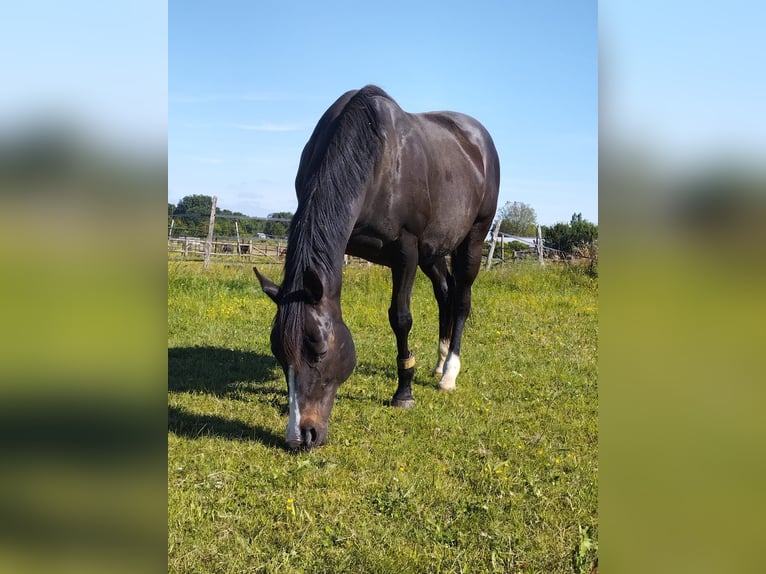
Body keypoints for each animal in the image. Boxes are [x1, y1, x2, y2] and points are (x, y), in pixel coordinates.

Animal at [255, 85, 500, 452]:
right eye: (278, 350)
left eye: (319, 348)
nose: (302, 435)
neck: (376, 159)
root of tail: (479, 139)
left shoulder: (406, 252)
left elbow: (401, 318)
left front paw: (404, 392)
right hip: (433, 251)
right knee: (445, 292)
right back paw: (439, 361)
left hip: (471, 240)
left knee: (461, 300)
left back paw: (449, 374)